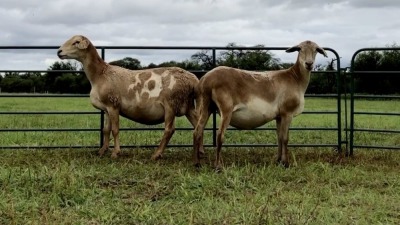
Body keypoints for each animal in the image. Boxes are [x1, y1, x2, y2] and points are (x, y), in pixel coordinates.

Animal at [57, 34, 202, 158]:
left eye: (76, 42)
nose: (59, 51)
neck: (100, 74)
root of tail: (193, 79)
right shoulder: (107, 108)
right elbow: (106, 130)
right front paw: (102, 151)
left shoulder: (113, 105)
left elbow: (115, 130)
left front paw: (116, 153)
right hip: (187, 105)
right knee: (198, 124)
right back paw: (200, 151)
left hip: (171, 104)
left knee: (169, 130)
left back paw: (156, 154)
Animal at [192, 39, 326, 169]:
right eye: (300, 49)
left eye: (316, 50)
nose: (309, 64)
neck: (295, 79)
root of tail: (206, 79)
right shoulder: (287, 113)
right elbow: (285, 138)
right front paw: (286, 163)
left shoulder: (279, 116)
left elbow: (279, 137)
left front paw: (279, 161)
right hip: (226, 108)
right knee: (220, 135)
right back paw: (218, 166)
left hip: (206, 106)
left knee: (197, 132)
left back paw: (197, 164)